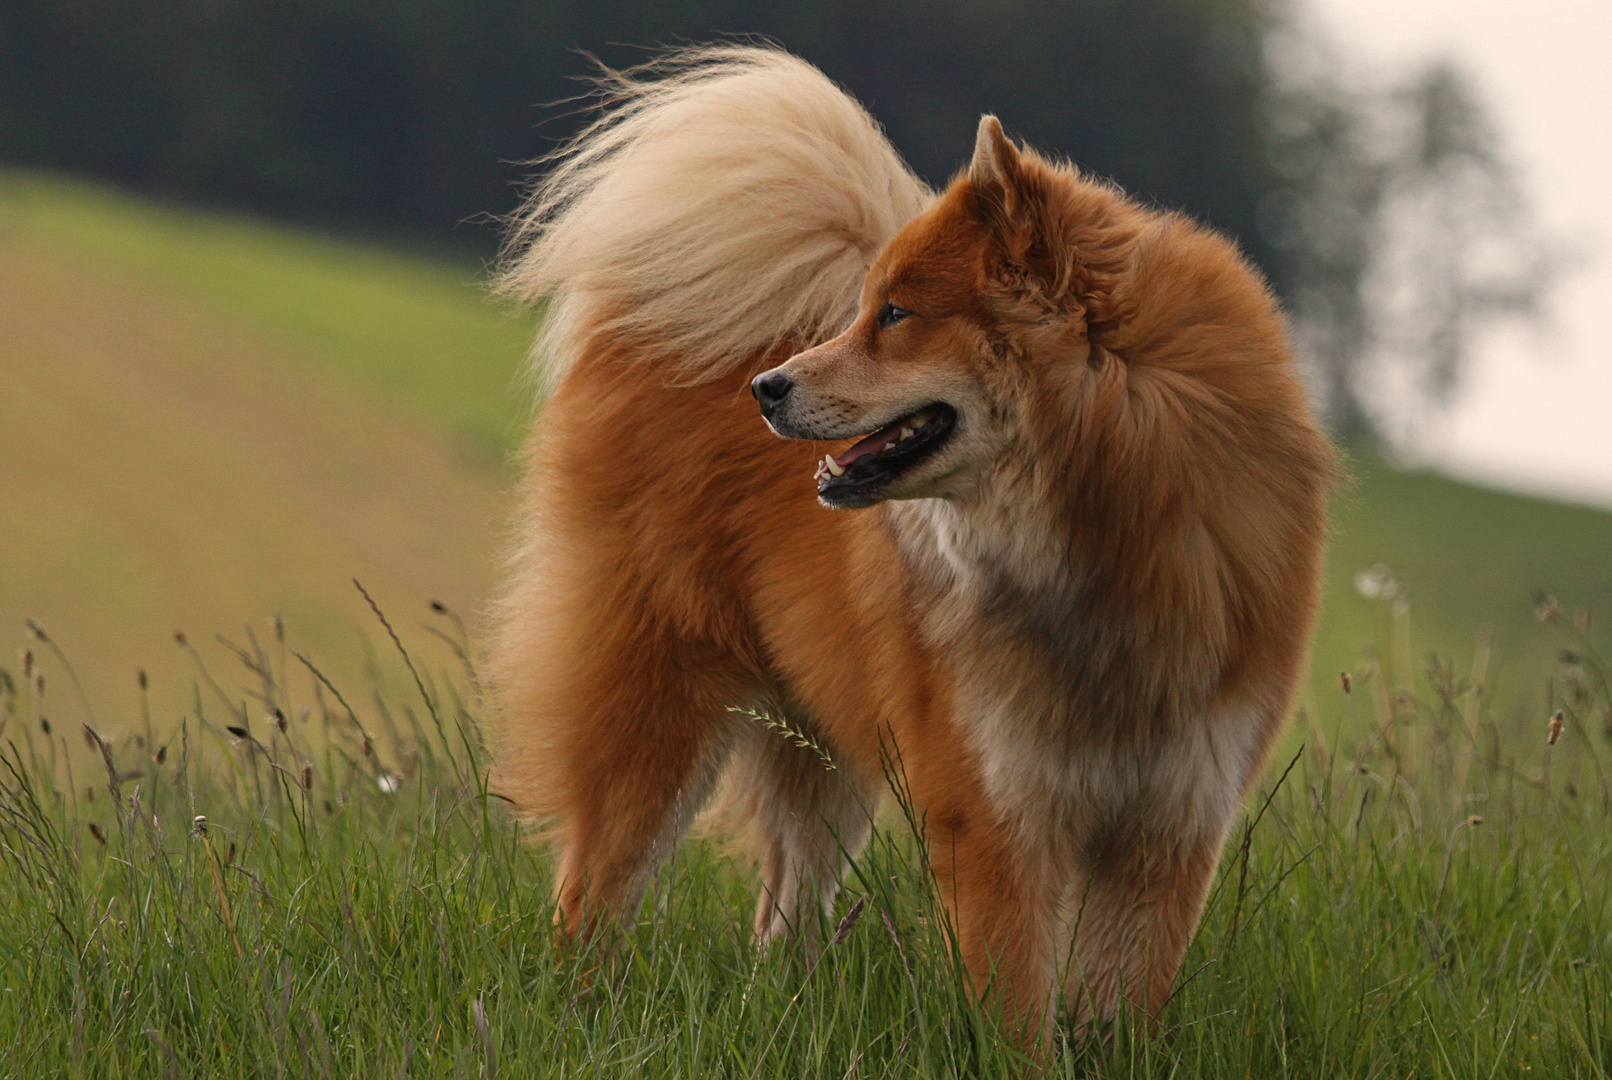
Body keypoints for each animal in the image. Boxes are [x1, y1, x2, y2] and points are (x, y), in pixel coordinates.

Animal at [486, 46, 1321, 1050]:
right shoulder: (996, 815)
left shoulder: (1169, 826)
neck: (1112, 543)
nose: (766, 387)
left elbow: (1118, 1010)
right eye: (869, 311)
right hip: (655, 711)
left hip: (824, 753)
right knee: (594, 897)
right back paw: (579, 1016)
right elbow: (1020, 1017)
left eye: (894, 315)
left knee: (784, 916)